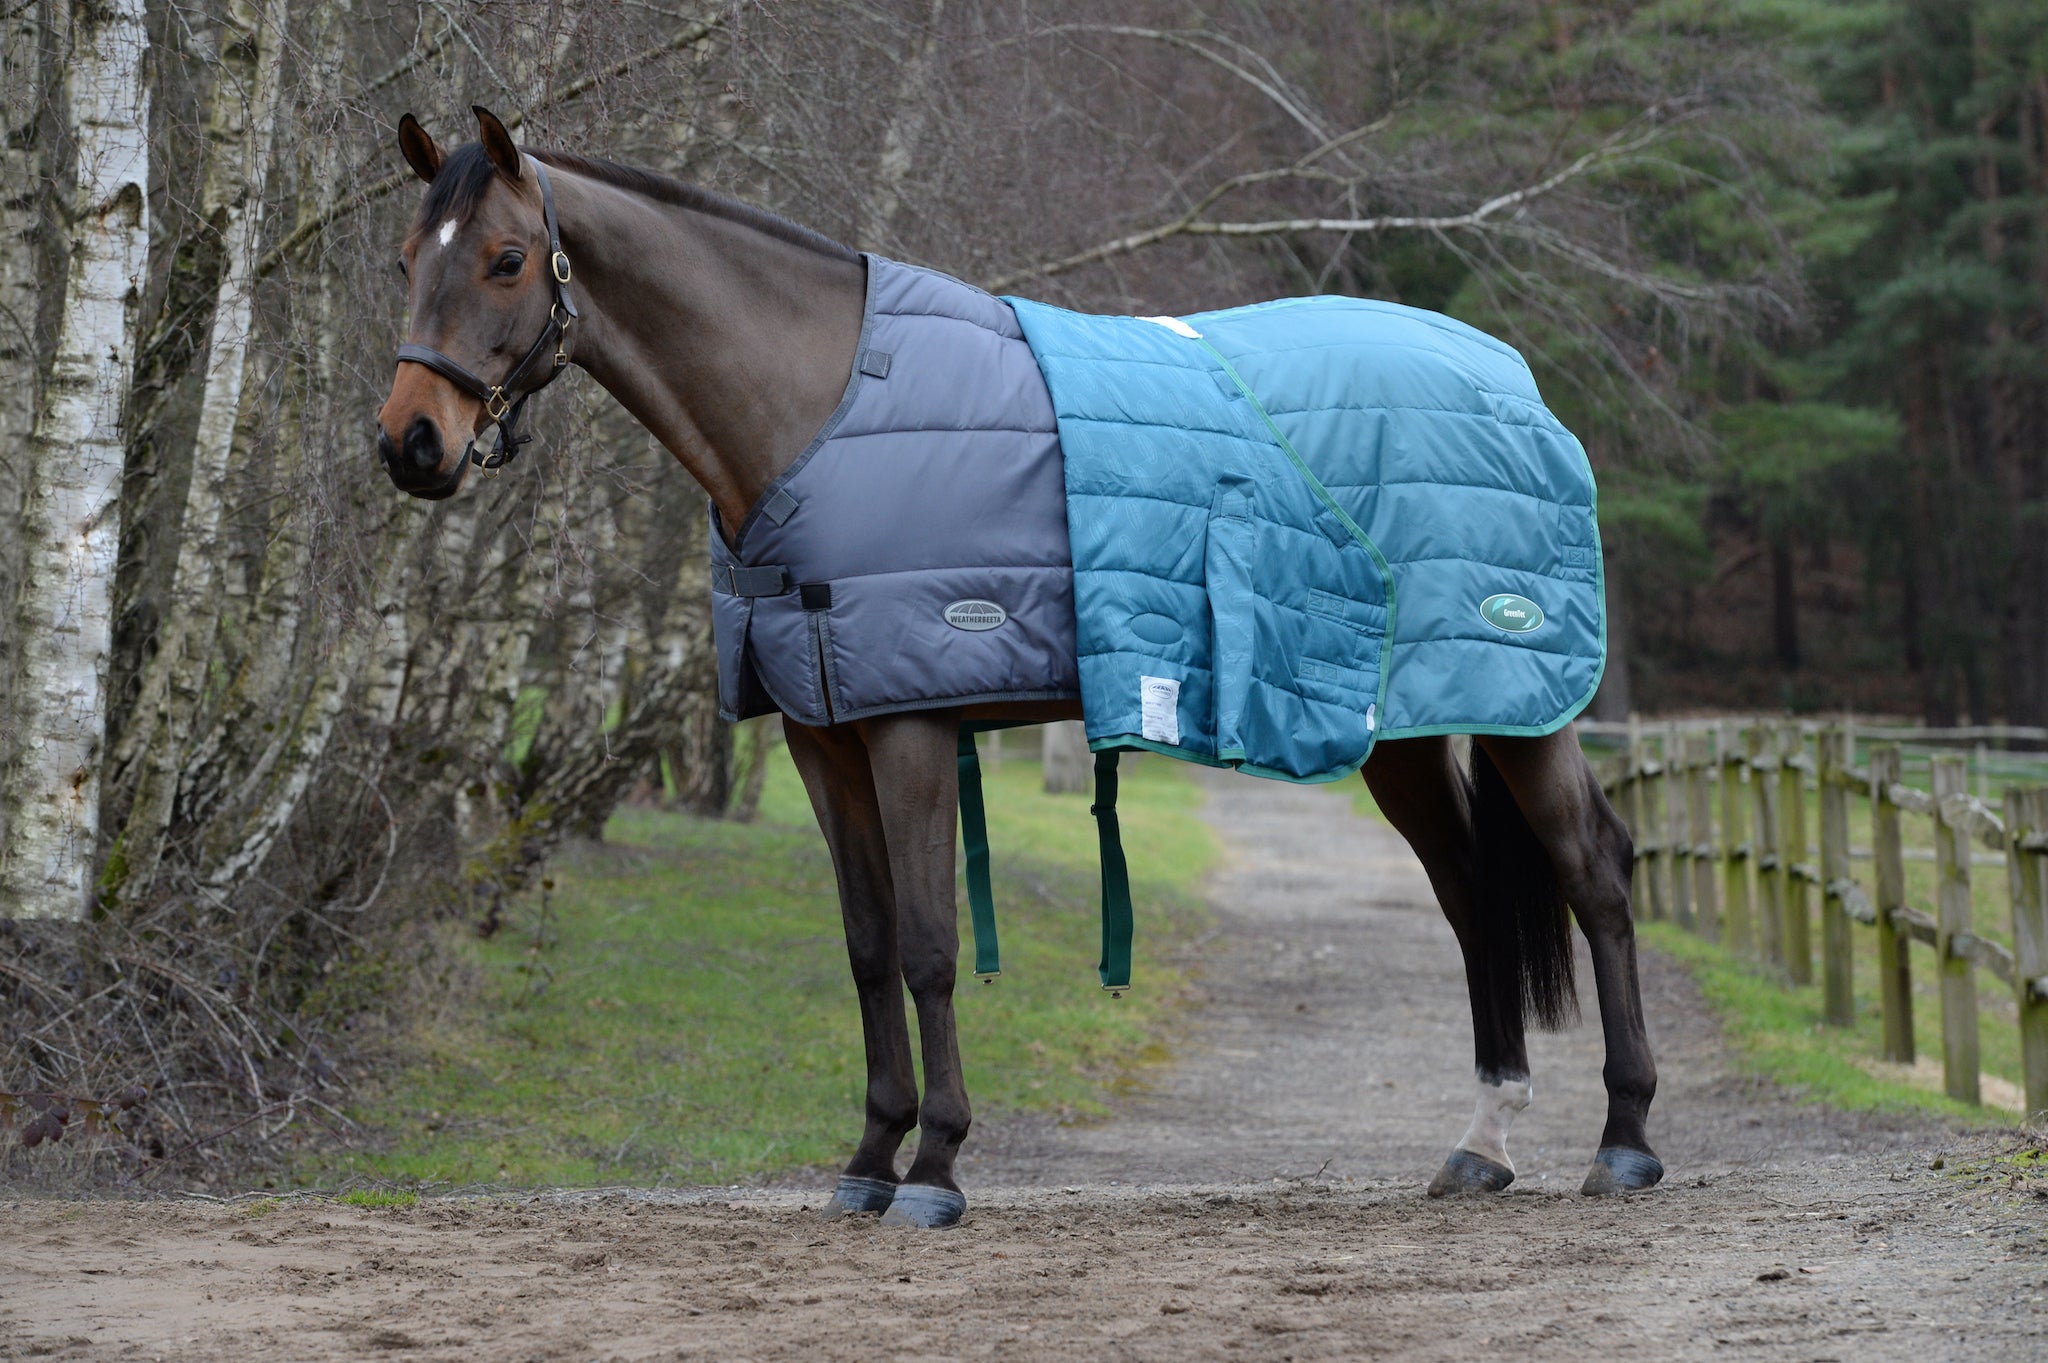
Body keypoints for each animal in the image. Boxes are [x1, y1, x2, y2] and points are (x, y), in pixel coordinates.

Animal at [375, 107, 1661, 1228]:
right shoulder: (821, 731)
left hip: (1521, 708)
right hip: (1404, 725)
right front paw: (868, 1159)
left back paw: (1622, 1143)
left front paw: (937, 1168)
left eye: (503, 259)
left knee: (1594, 872)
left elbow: (930, 947)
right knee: (1468, 892)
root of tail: (1508, 378)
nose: (410, 444)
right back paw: (1480, 1146)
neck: (819, 405)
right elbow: (866, 947)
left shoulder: (908, 722)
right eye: (402, 258)